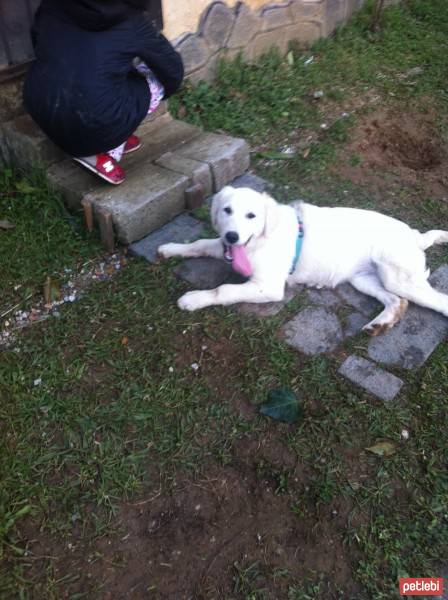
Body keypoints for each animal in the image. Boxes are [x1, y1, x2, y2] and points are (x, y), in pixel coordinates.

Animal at [158, 186, 448, 336]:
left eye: (252, 215)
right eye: (226, 210)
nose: (232, 236)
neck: (261, 238)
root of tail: (414, 235)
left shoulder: (268, 287)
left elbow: (224, 290)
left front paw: (194, 299)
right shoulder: (225, 248)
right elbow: (199, 244)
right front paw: (169, 249)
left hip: (399, 278)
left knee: (435, 301)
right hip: (364, 279)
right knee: (397, 301)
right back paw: (380, 324)